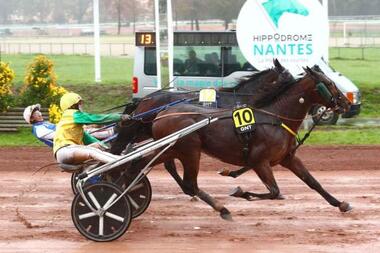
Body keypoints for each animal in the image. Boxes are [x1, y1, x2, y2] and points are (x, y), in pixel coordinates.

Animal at [146, 66, 354, 219]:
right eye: (329, 83)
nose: (346, 103)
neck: (276, 118)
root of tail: (162, 113)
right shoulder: (259, 162)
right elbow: (274, 191)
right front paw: (240, 192)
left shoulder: (288, 158)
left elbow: (313, 182)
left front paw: (340, 204)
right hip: (190, 151)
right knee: (191, 184)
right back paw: (222, 208)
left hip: (171, 149)